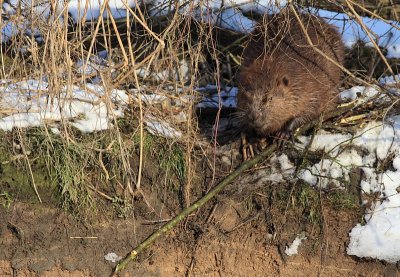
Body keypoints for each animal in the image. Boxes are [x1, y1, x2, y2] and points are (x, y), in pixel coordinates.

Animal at [238, 8, 344, 147]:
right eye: (246, 96)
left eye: (268, 98)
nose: (253, 116)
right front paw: (254, 140)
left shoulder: (312, 84)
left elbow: (311, 110)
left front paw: (283, 134)